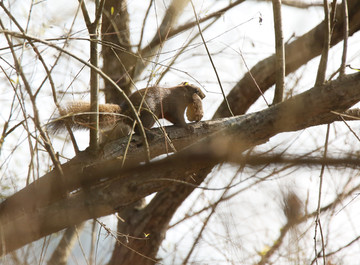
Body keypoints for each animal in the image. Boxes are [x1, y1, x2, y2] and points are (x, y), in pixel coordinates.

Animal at [48, 82, 205, 140]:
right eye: (196, 89)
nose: (203, 95)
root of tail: (125, 110)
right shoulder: (175, 107)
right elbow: (179, 119)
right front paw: (189, 127)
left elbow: (174, 119)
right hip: (149, 113)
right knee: (137, 128)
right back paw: (148, 133)